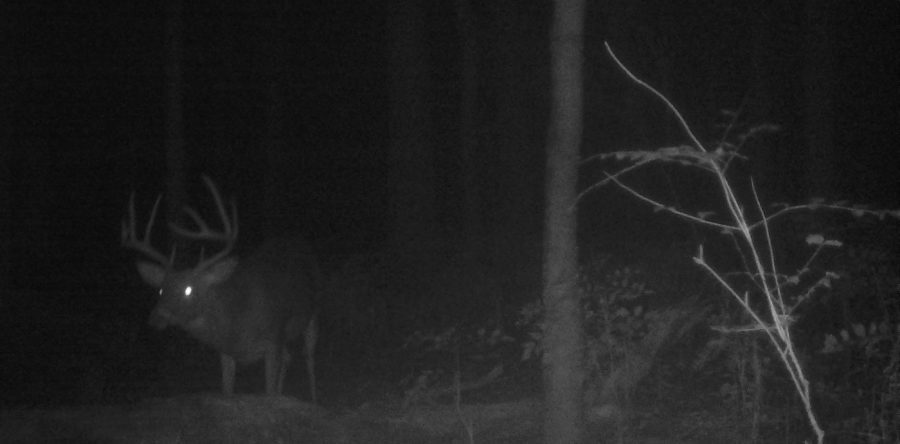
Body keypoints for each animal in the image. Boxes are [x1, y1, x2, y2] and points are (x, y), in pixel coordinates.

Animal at [121, 175, 319, 402]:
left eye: (188, 289)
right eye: (161, 290)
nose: (156, 317)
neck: (235, 323)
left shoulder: (274, 337)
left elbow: (268, 390)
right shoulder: (226, 352)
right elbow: (227, 389)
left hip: (312, 312)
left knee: (308, 356)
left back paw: (314, 398)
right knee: (289, 357)